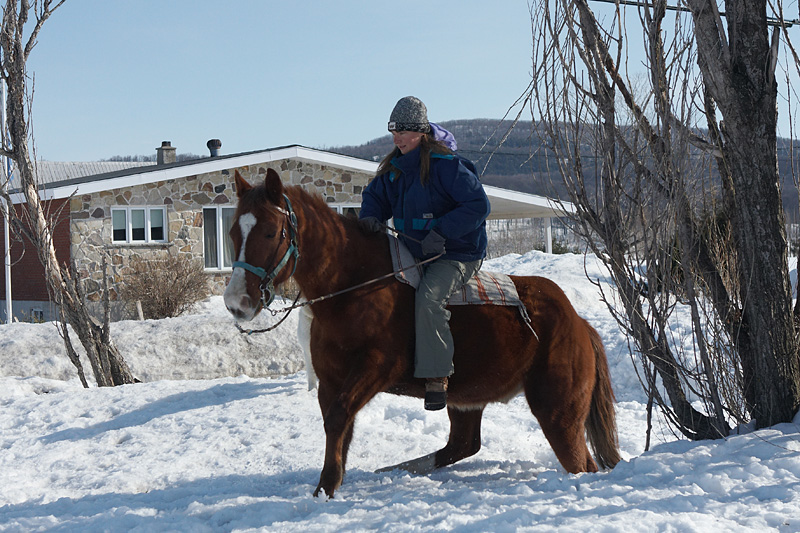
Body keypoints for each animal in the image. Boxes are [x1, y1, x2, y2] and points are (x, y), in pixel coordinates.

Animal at [223, 168, 620, 496]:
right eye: (231, 233)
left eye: (271, 232)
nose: (236, 302)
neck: (352, 286)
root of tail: (579, 324)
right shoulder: (331, 380)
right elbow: (337, 425)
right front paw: (328, 484)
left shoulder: (377, 367)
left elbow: (339, 417)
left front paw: (327, 487)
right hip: (469, 399)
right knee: (462, 444)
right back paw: (400, 469)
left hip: (559, 412)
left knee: (581, 463)